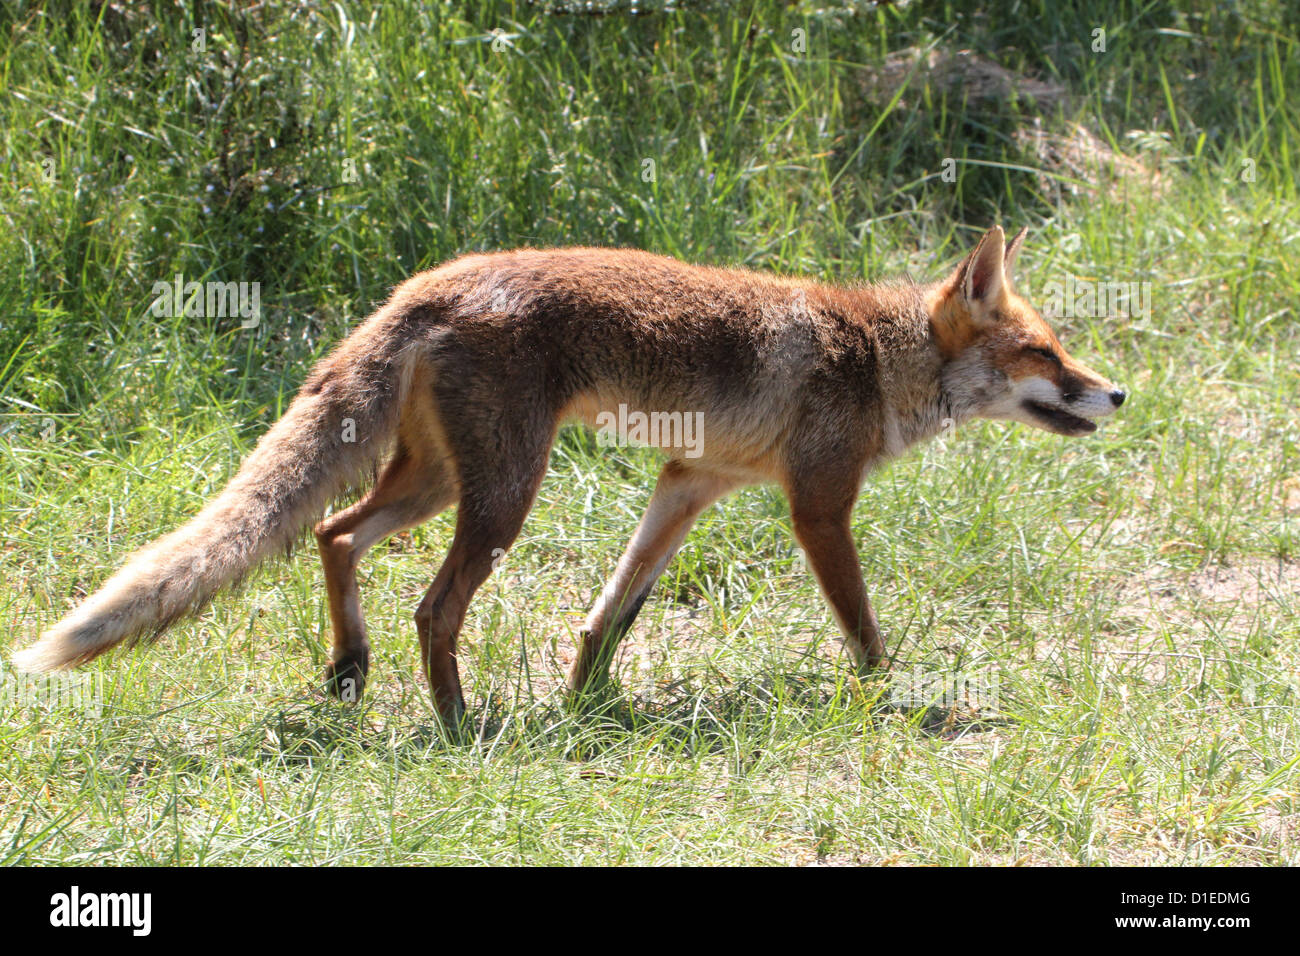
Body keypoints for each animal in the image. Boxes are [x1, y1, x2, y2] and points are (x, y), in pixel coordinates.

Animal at [10, 226, 1123, 717]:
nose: (1116, 393)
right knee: (431, 606)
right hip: (503, 496)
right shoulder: (817, 507)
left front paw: (590, 704)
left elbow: (610, 611)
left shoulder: (689, 482)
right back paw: (457, 724)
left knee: (332, 534)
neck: (872, 355)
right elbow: (863, 629)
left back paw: (351, 672)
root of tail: (426, 284)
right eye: (1044, 353)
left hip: (439, 485)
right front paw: (892, 700)